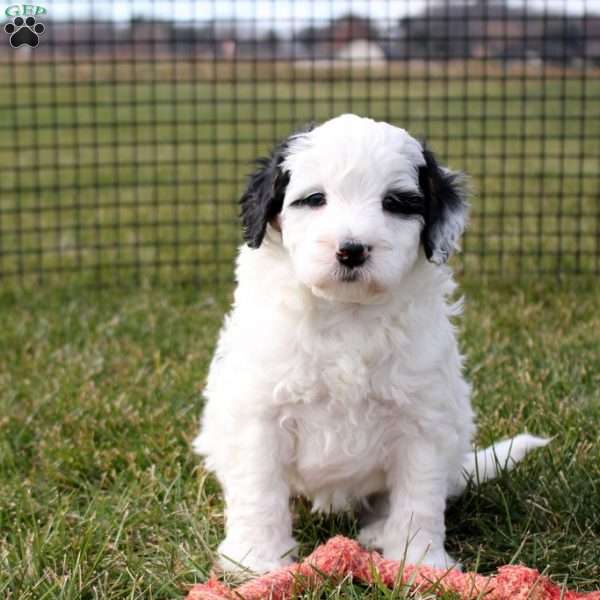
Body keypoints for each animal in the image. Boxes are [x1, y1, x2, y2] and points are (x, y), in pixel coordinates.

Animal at [196, 113, 548, 576]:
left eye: (395, 203)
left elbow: (418, 497)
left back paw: (381, 532)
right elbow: (260, 489)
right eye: (314, 199)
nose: (352, 250)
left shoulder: (423, 419)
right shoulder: (260, 412)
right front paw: (257, 559)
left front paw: (420, 561)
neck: (348, 313)